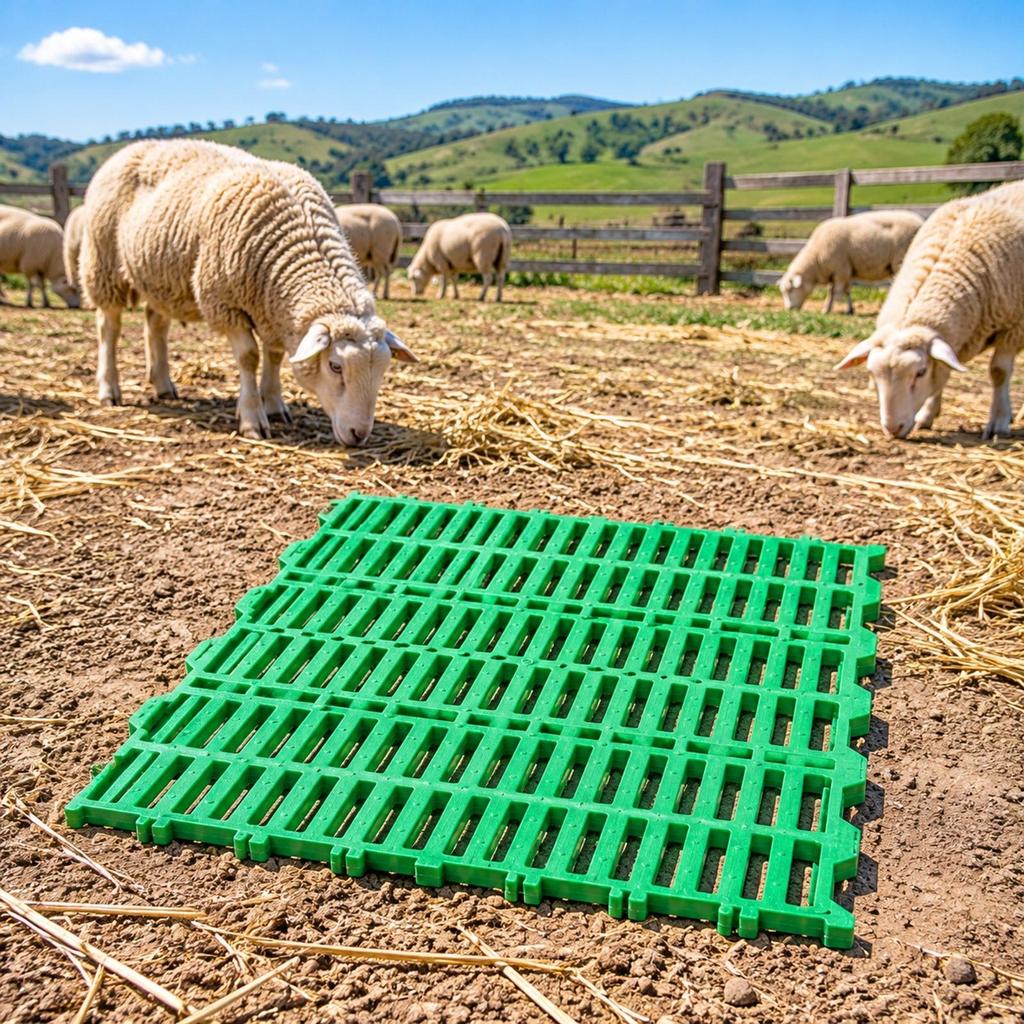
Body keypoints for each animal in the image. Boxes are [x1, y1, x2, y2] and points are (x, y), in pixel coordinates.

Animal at [79, 139, 416, 445]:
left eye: (384, 368)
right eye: (335, 366)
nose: (359, 435)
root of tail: (128, 148)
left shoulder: (271, 308)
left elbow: (275, 356)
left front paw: (275, 404)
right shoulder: (224, 302)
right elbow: (249, 356)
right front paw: (253, 418)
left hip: (162, 278)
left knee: (155, 322)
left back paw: (163, 383)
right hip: (104, 262)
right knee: (108, 326)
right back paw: (109, 389)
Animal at [779, 210, 924, 314]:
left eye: (789, 290)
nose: (789, 309)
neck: (816, 259)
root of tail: (920, 222)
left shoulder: (840, 269)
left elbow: (834, 292)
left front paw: (827, 309)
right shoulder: (844, 270)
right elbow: (846, 290)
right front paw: (850, 309)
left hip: (901, 259)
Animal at [836, 184, 1024, 440]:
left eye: (921, 372)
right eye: (872, 373)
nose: (892, 429)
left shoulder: (1014, 326)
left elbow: (999, 372)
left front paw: (999, 422)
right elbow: (943, 372)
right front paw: (927, 414)